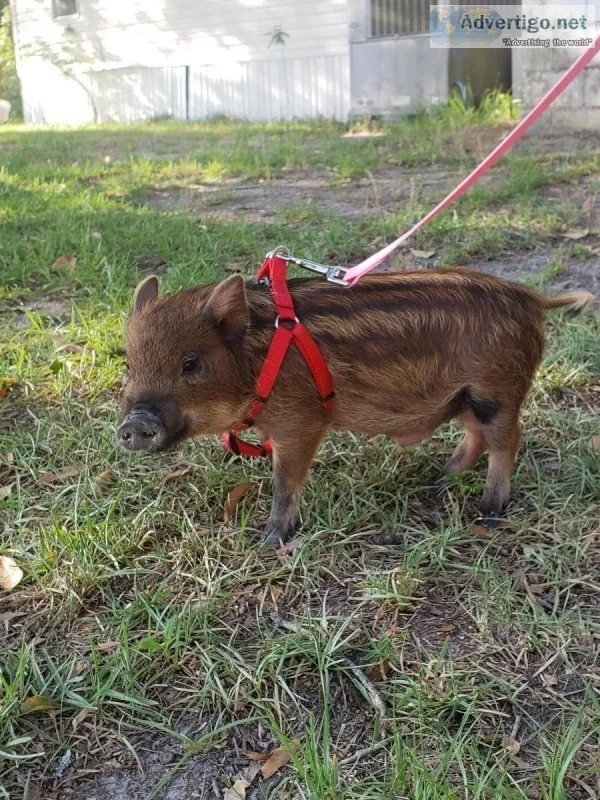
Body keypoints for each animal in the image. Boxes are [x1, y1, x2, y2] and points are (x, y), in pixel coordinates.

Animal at [117, 268, 594, 544]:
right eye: (128, 361)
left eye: (191, 363)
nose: (134, 424)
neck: (257, 359)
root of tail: (534, 299)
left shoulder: (302, 420)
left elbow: (285, 481)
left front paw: (269, 540)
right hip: (464, 398)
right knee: (476, 437)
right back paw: (436, 481)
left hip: (496, 389)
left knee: (507, 441)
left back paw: (489, 512)